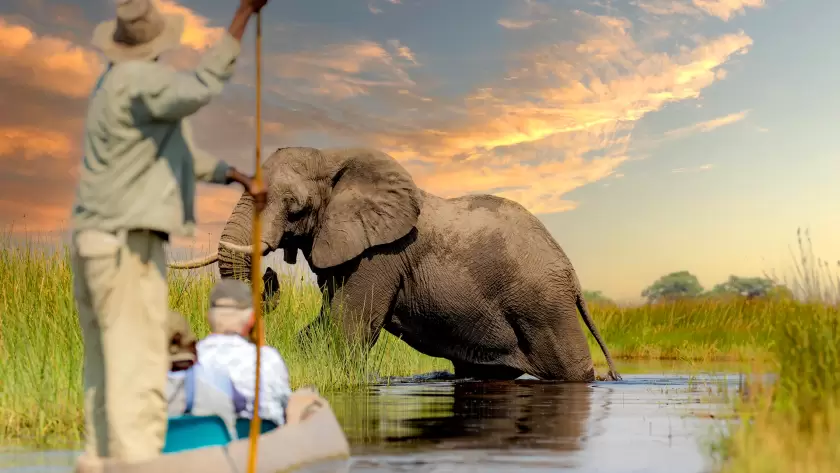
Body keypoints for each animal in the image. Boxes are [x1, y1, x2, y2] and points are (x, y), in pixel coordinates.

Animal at [168, 146, 621, 382]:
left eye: (295, 207)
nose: (270, 273)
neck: (334, 158)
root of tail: (572, 275)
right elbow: (322, 324)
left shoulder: (379, 256)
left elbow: (348, 328)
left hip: (543, 307)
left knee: (571, 369)